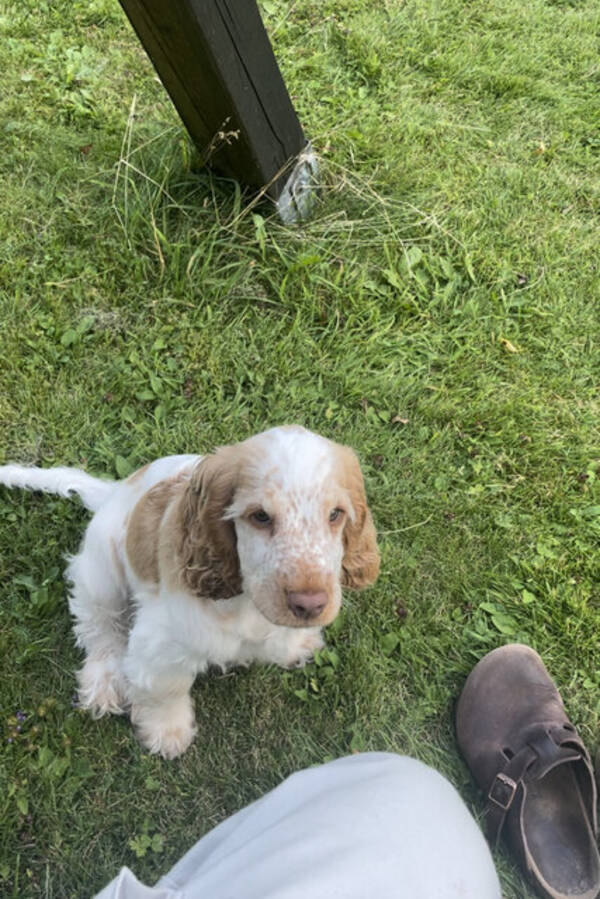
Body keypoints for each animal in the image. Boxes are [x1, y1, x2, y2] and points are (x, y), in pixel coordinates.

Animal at [1, 428, 380, 760]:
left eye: (336, 514)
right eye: (260, 516)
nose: (310, 605)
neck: (245, 600)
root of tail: (112, 493)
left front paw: (297, 644)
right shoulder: (162, 644)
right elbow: (163, 689)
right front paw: (166, 734)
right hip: (101, 574)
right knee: (98, 626)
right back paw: (104, 682)